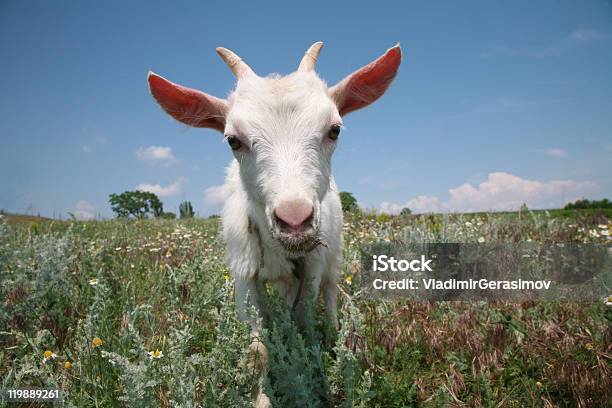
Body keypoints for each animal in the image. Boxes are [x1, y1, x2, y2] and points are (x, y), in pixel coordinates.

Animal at [149, 39, 402, 404]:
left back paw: (333, 333)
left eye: (334, 130)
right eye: (233, 140)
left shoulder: (311, 265)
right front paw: (262, 397)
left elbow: (303, 320)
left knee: (330, 291)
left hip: (334, 254)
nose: (295, 220)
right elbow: (259, 349)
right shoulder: (243, 272)